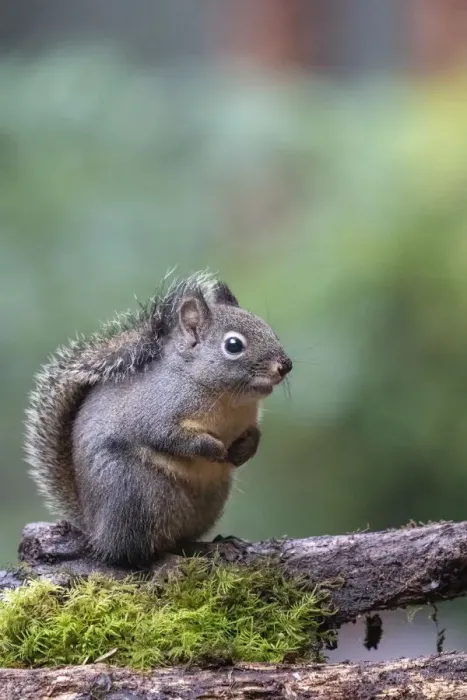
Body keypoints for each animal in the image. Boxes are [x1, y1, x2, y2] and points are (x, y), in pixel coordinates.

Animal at [24, 272, 292, 566]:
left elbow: (254, 434)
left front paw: (244, 450)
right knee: (134, 550)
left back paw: (212, 546)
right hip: (137, 494)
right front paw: (213, 449)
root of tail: (96, 530)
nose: (286, 365)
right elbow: (168, 437)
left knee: (178, 540)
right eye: (233, 345)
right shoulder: (155, 412)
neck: (226, 399)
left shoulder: (247, 421)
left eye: (270, 330)